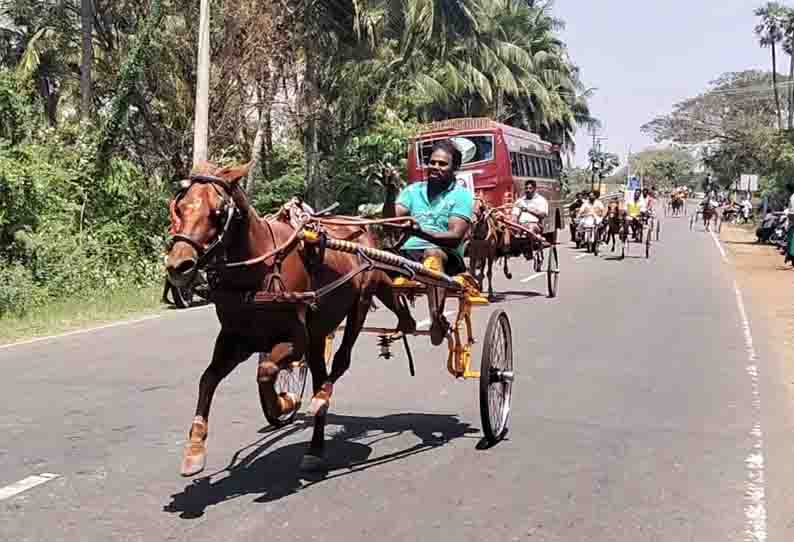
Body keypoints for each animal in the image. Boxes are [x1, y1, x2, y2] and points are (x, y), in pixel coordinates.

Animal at [166, 162, 414, 476]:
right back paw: (315, 447)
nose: (179, 265)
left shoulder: (296, 339)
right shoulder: (234, 339)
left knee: (341, 361)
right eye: (180, 207)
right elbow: (208, 379)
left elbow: (267, 370)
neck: (257, 271)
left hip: (362, 300)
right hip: (320, 331)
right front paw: (195, 449)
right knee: (321, 373)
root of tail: (360, 228)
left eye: (218, 212)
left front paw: (283, 403)